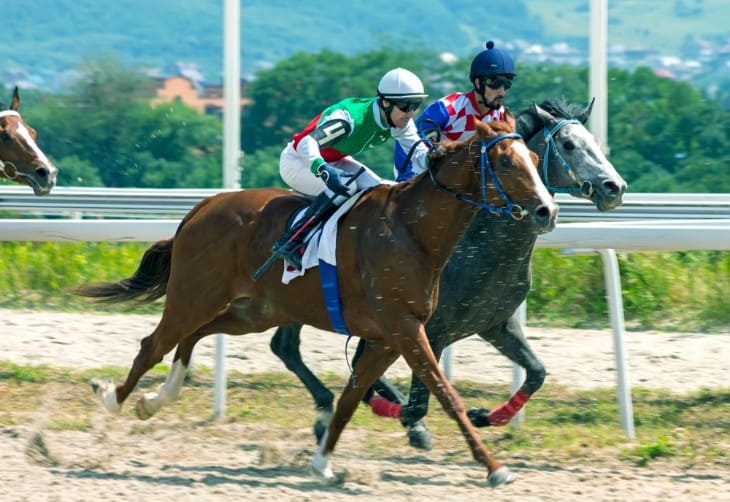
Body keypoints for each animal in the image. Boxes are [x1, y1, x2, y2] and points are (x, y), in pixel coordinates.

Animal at [75, 113, 552, 486]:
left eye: (533, 160)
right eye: (506, 161)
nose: (547, 211)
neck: (413, 233)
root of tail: (203, 207)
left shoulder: (387, 338)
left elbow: (350, 398)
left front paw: (322, 462)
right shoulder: (408, 330)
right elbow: (445, 394)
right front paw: (494, 467)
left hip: (255, 310)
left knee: (195, 337)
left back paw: (157, 399)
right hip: (194, 294)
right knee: (154, 344)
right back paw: (114, 398)